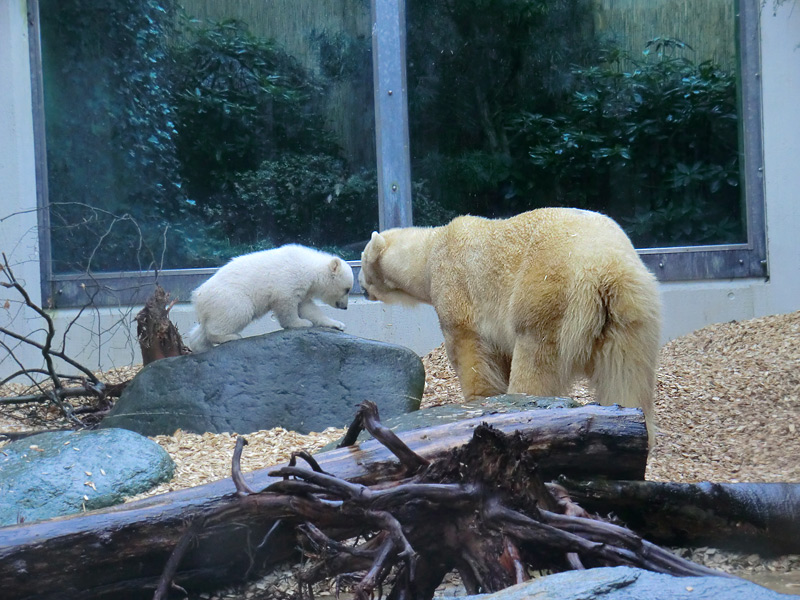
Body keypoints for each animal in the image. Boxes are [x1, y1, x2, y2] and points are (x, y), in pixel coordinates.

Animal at [360, 210, 660, 440]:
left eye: (361, 262)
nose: (360, 286)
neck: (428, 253)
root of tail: (606, 268)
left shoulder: (457, 288)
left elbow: (471, 351)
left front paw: (480, 399)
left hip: (547, 296)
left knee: (535, 361)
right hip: (630, 315)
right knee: (626, 375)